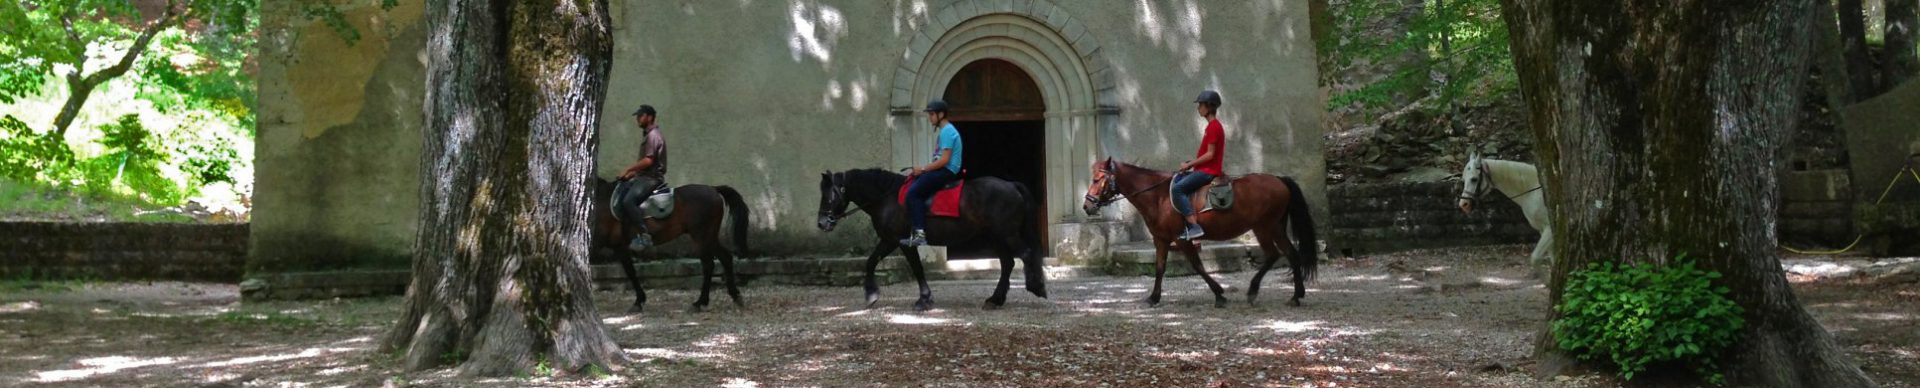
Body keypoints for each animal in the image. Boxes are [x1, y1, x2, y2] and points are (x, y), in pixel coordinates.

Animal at [591, 177, 748, 313]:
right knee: (725, 258)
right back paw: (735, 296)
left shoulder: (599, 244)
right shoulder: (618, 246)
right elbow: (630, 271)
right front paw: (639, 301)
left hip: (701, 236)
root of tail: (714, 189)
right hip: (709, 236)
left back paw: (699, 303)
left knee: (708, 265)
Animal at [814, 168, 1052, 311]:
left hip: (1006, 234)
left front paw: (920, 299)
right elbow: (874, 262)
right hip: (997, 237)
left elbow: (911, 267)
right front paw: (874, 295)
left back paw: (1036, 287)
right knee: (1008, 262)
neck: (887, 198)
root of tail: (1011, 185)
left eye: (828, 195)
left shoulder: (898, 241)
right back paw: (996, 299)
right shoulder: (891, 241)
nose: (822, 223)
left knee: (1025, 255)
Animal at [1082, 159, 1320, 307]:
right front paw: (1154, 297)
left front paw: (1219, 294)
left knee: (1274, 254)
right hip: (1274, 227)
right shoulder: (1161, 240)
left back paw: (1255, 291)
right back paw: (1296, 296)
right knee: (1290, 255)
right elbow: (1160, 268)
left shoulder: (1181, 240)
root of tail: (1279, 180)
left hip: (1265, 226)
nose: (1087, 206)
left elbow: (1197, 266)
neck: (1158, 196)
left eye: (1096, 180)